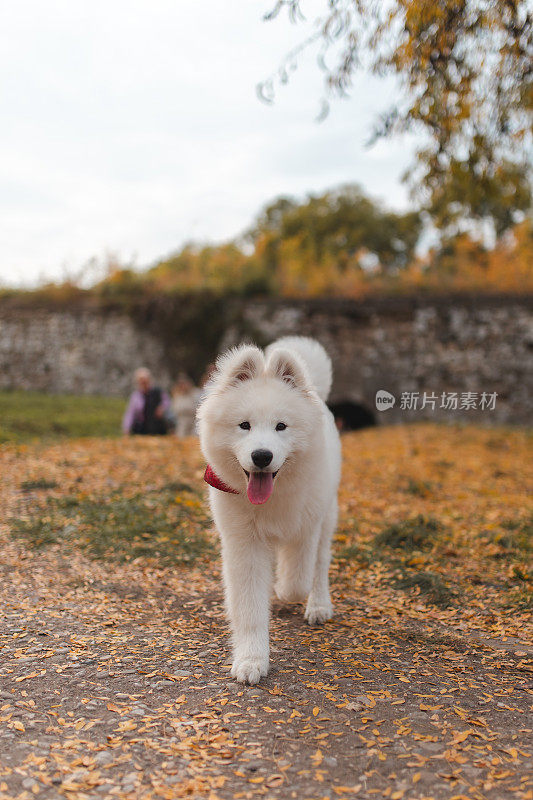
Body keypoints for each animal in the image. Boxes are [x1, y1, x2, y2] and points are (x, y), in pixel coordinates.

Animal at [195, 334, 340, 684]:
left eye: (281, 426)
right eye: (244, 425)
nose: (261, 456)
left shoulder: (306, 529)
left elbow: (297, 580)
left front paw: (284, 588)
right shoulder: (243, 544)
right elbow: (248, 608)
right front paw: (251, 661)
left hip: (327, 518)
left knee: (319, 567)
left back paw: (318, 605)